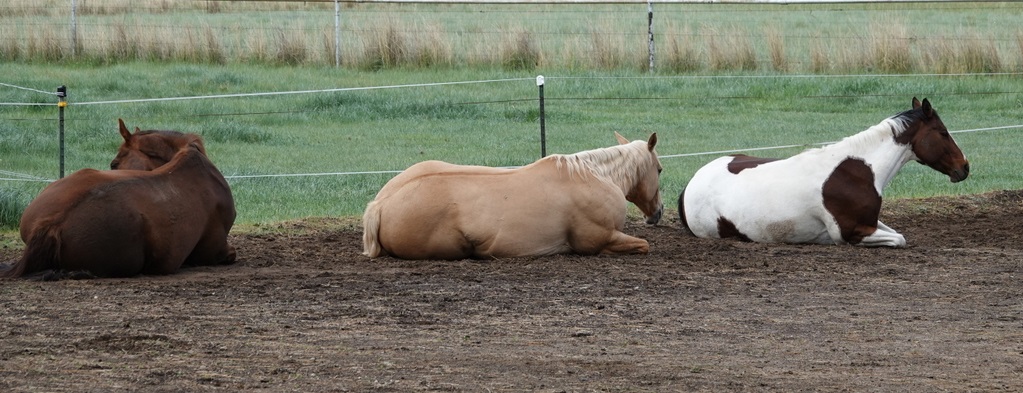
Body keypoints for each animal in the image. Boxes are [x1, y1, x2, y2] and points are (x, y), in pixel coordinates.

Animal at [360, 133, 662, 260]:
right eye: (659, 169)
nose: (658, 212)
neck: (594, 176)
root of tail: (381, 204)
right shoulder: (600, 240)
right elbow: (644, 245)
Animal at [679, 97, 965, 247]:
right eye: (943, 132)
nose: (964, 167)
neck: (858, 171)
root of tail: (691, 184)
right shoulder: (852, 232)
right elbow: (900, 238)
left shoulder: (872, 222)